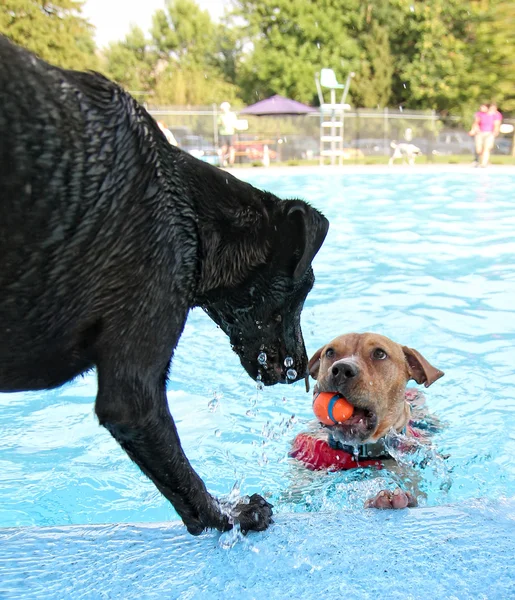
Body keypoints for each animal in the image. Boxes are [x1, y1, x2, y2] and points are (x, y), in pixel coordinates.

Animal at [0, 36, 328, 536]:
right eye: (303, 289)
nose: (302, 369)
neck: (189, 215)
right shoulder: (132, 391)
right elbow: (189, 489)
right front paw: (235, 513)